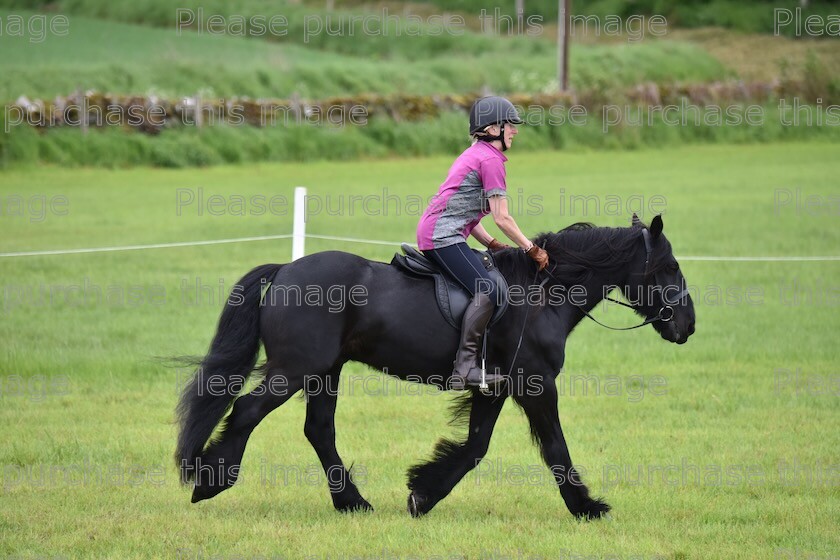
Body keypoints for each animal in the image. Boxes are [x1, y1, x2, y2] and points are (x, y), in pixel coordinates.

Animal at [176, 215, 696, 520]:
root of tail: (285, 270)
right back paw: (210, 483)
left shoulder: (496, 387)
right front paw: (586, 506)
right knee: (247, 413)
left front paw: (422, 493)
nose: (687, 325)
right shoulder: (536, 383)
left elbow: (476, 447)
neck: (542, 294)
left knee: (318, 430)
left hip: (325, 372)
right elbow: (555, 447)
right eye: (670, 266)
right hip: (295, 370)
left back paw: (353, 503)